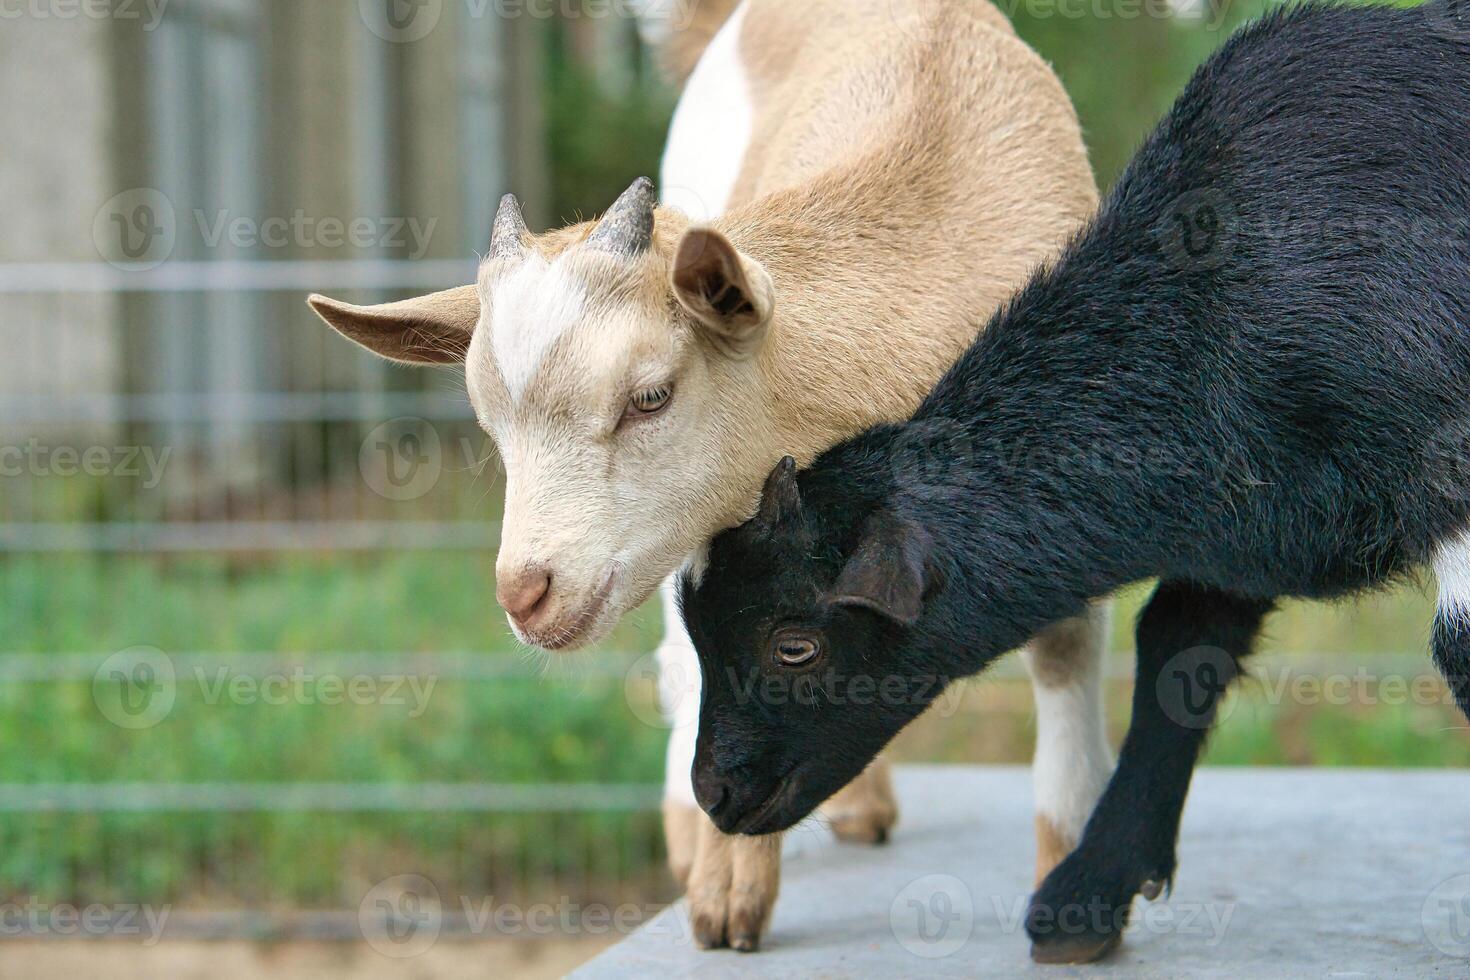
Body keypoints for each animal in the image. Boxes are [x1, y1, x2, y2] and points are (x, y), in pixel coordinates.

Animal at [310, 0, 1105, 952]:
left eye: (649, 397)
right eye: (491, 428)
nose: (525, 592)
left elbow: (1063, 651)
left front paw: (1075, 888)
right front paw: (729, 885)